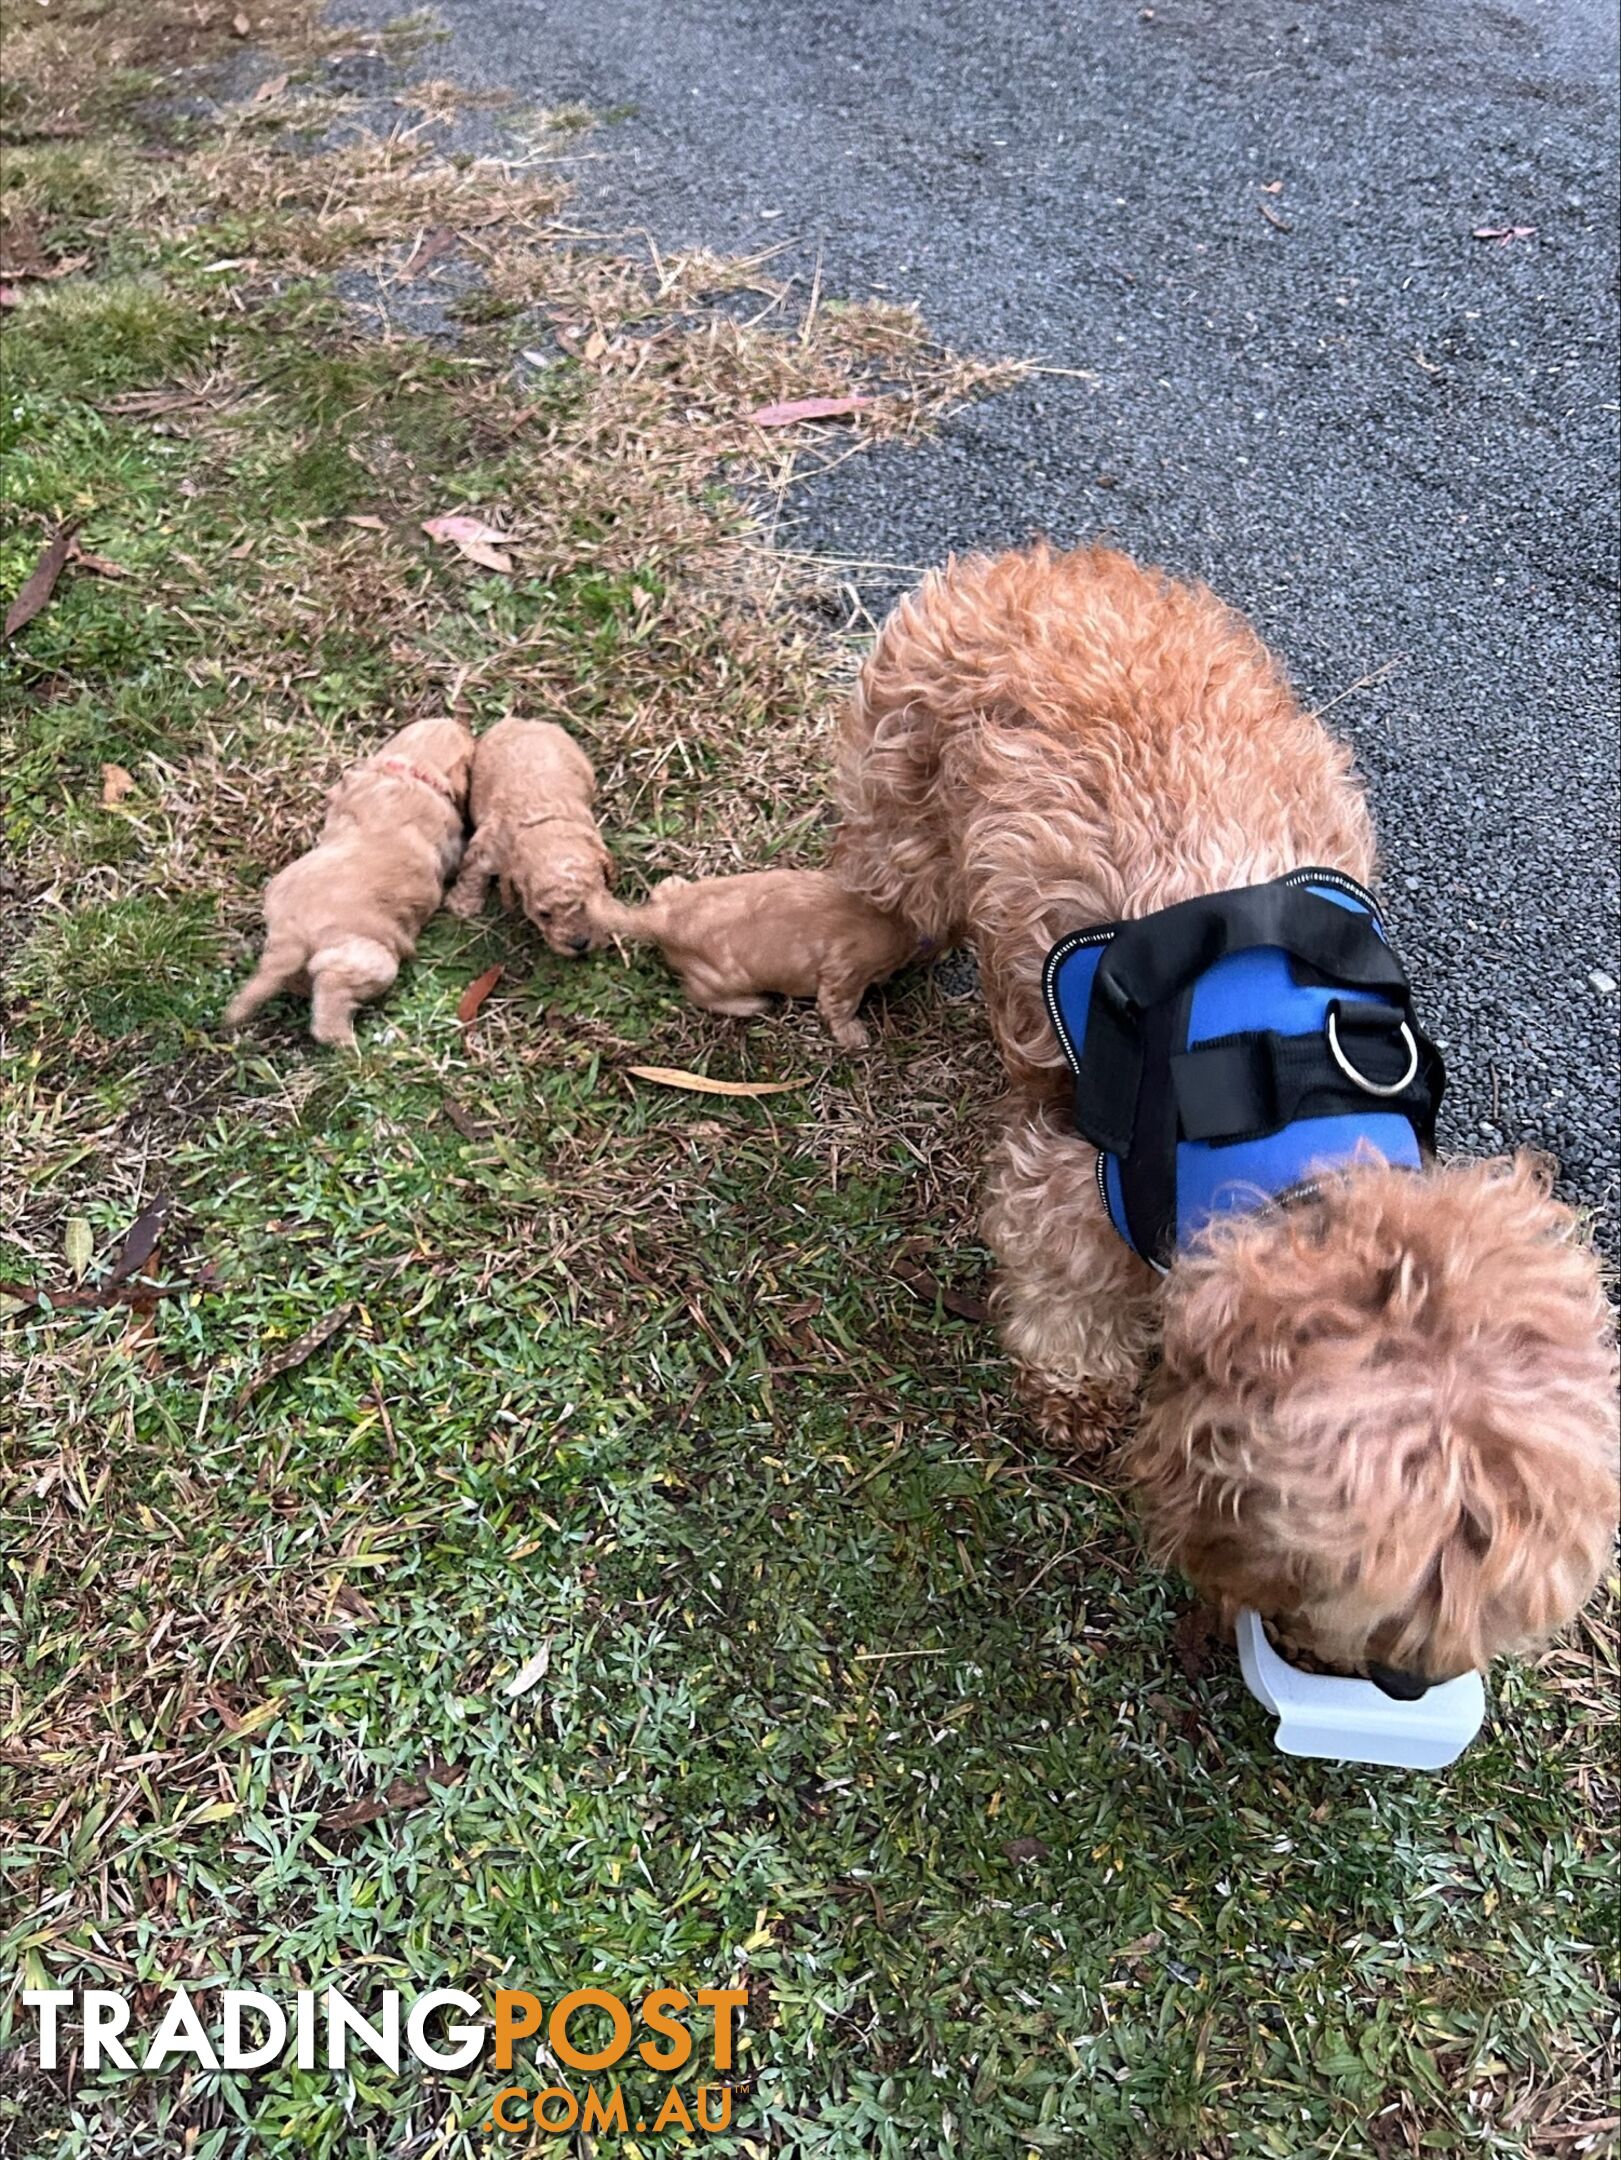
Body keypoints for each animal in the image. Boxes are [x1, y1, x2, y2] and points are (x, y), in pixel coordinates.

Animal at [220, 712, 469, 1049]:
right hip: (370, 960)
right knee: (331, 993)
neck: (409, 770)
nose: (463, 724)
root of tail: (290, 935)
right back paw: (348, 1043)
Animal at [447, 717, 613, 954]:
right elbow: (473, 872)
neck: (541, 826)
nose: (579, 944)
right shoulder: (489, 848)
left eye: (590, 907)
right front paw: (462, 905)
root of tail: (522, 721)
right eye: (544, 915)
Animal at [592, 868, 925, 1054]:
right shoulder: (846, 970)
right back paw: (752, 1004)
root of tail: (661, 919)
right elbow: (838, 1005)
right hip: (726, 974)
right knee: (697, 993)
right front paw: (854, 1035)